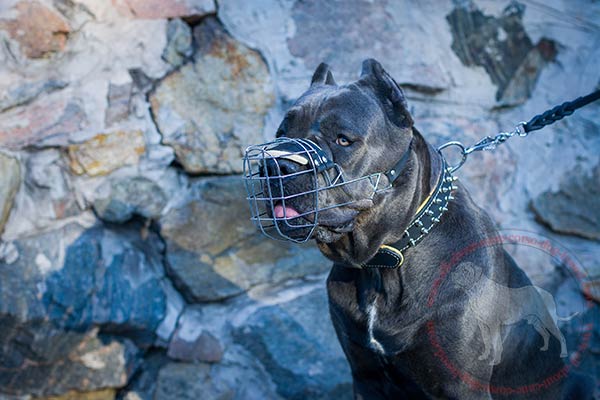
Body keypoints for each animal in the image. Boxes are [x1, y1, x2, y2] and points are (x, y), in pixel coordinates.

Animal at [264, 59, 596, 400]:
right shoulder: (365, 376)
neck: (384, 263)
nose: (275, 165)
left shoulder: (463, 386)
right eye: (281, 132)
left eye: (343, 139)